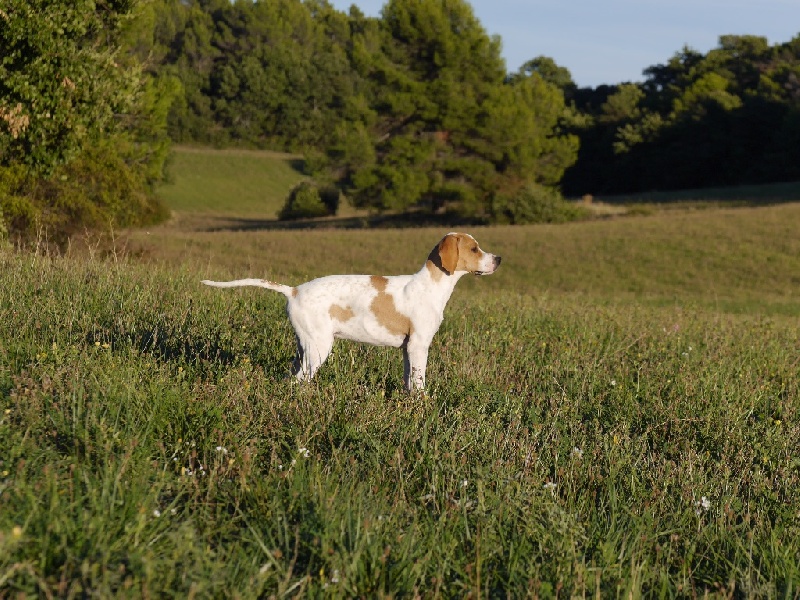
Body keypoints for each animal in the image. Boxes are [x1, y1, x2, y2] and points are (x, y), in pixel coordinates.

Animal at [200, 232, 500, 392]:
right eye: (474, 249)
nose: (498, 259)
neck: (431, 285)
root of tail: (294, 290)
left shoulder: (407, 349)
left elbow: (408, 381)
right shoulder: (419, 346)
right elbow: (419, 383)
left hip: (303, 347)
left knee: (290, 378)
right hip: (319, 347)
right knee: (299, 382)